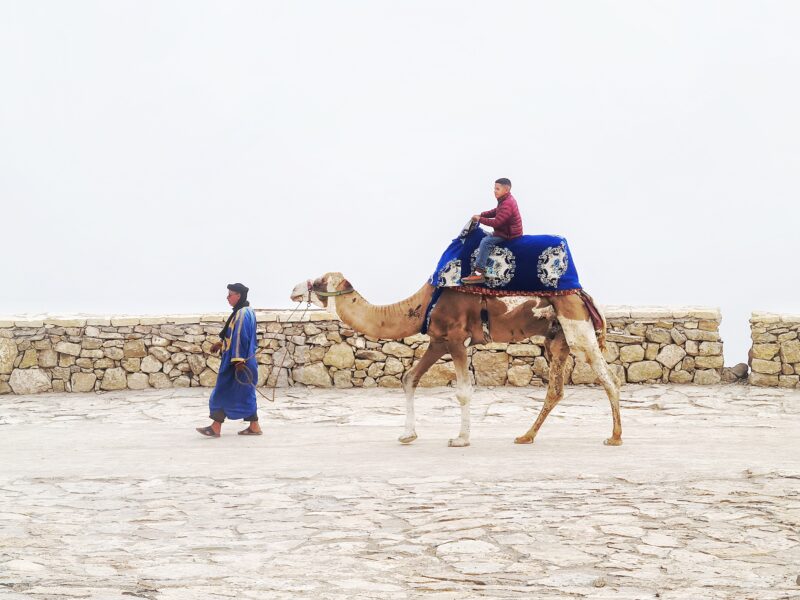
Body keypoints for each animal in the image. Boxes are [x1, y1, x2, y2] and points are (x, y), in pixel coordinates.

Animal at [290, 273, 622, 447]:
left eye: (319, 279)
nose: (293, 289)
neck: (421, 304)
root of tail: (584, 296)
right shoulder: (438, 340)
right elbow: (409, 378)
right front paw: (408, 434)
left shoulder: (457, 339)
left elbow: (462, 392)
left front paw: (461, 438)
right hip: (557, 338)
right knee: (555, 389)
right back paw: (526, 436)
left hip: (578, 330)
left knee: (609, 379)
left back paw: (615, 437)